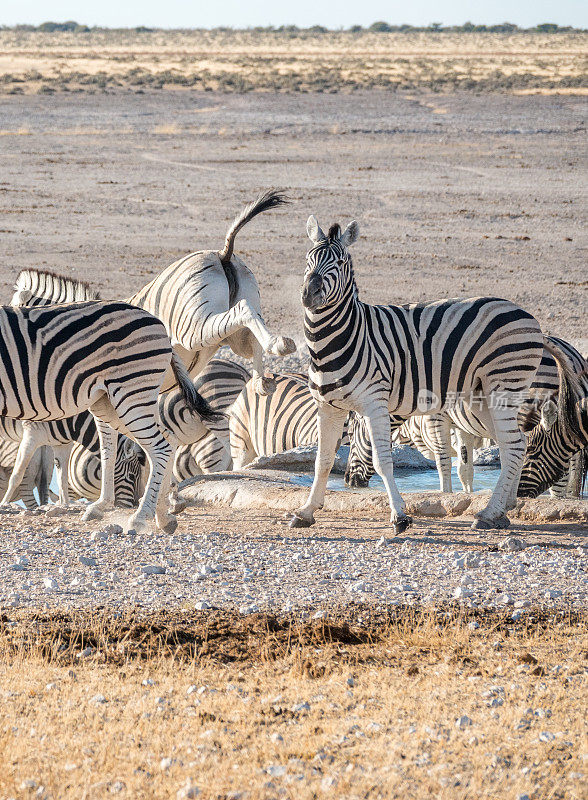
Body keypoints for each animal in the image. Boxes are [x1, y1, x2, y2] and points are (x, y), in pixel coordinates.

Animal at [0, 298, 216, 532]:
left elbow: (20, 472)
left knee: (161, 447)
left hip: (131, 392)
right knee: (154, 441)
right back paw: (160, 514)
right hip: (110, 401)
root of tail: (160, 325)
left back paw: (141, 515)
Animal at [290, 216, 564, 536]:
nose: (309, 294)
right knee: (517, 445)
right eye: (308, 259)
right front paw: (306, 512)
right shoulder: (327, 405)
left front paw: (400, 516)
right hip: (482, 397)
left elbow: (383, 462)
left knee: (514, 444)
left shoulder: (374, 402)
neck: (340, 338)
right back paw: (502, 510)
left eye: (341, 261)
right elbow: (322, 461)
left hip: (504, 387)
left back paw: (489, 512)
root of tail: (527, 315)